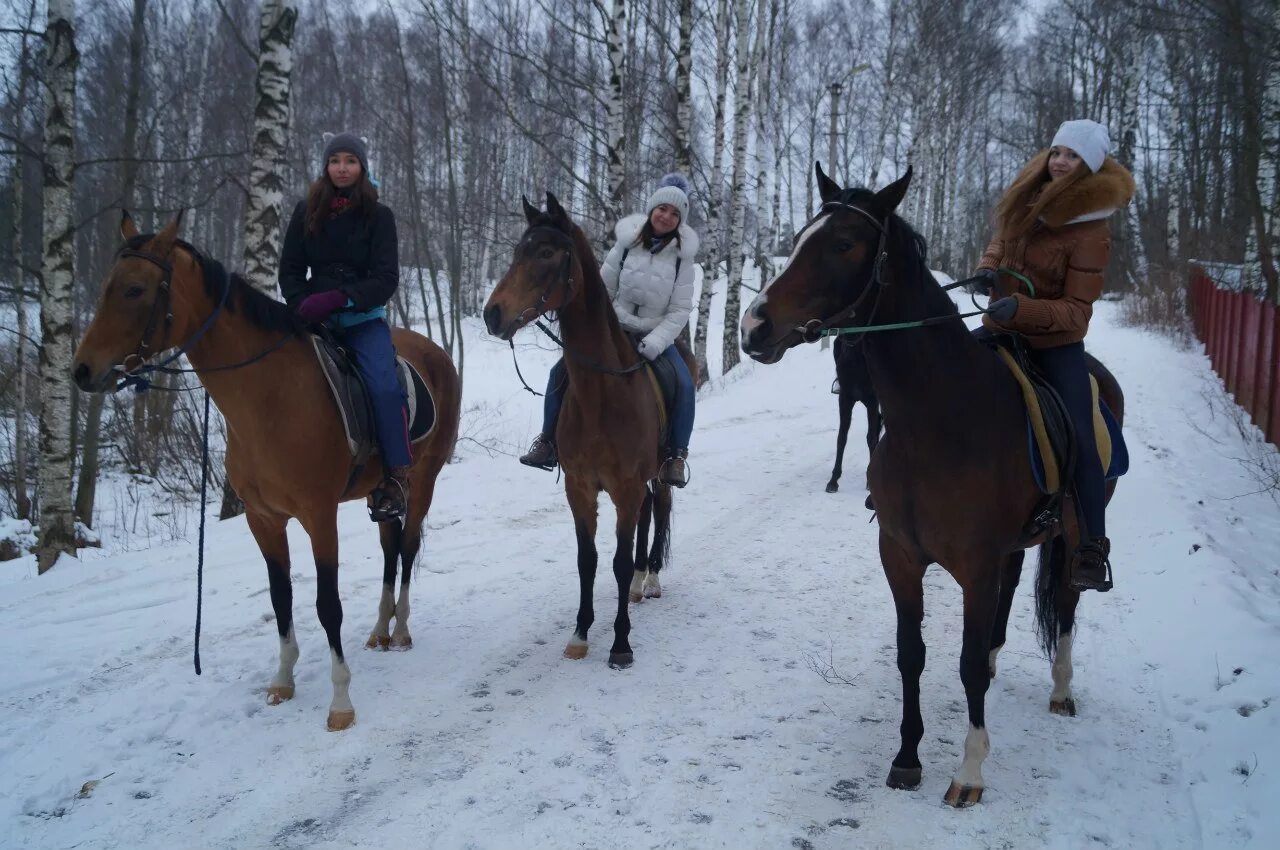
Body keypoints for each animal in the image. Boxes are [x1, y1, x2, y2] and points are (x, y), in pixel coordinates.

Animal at [71, 212, 460, 732]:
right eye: (107, 288)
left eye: (135, 289)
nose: (81, 370)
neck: (270, 399)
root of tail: (436, 352)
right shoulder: (264, 519)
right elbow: (281, 599)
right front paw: (283, 680)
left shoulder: (319, 516)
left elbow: (327, 605)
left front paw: (340, 701)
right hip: (381, 494)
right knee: (390, 549)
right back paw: (380, 628)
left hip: (424, 482)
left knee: (410, 546)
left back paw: (399, 630)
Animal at [481, 194, 696, 670]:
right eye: (517, 250)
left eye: (546, 253)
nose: (492, 314)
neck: (603, 394)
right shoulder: (580, 488)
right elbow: (588, 560)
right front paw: (580, 634)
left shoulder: (625, 487)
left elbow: (616, 561)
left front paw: (621, 644)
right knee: (649, 514)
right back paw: (638, 584)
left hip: (658, 473)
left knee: (662, 507)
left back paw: (650, 579)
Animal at [829, 332, 880, 491]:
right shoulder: (845, 399)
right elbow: (841, 438)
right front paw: (833, 480)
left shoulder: (872, 401)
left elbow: (871, 437)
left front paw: (870, 482)